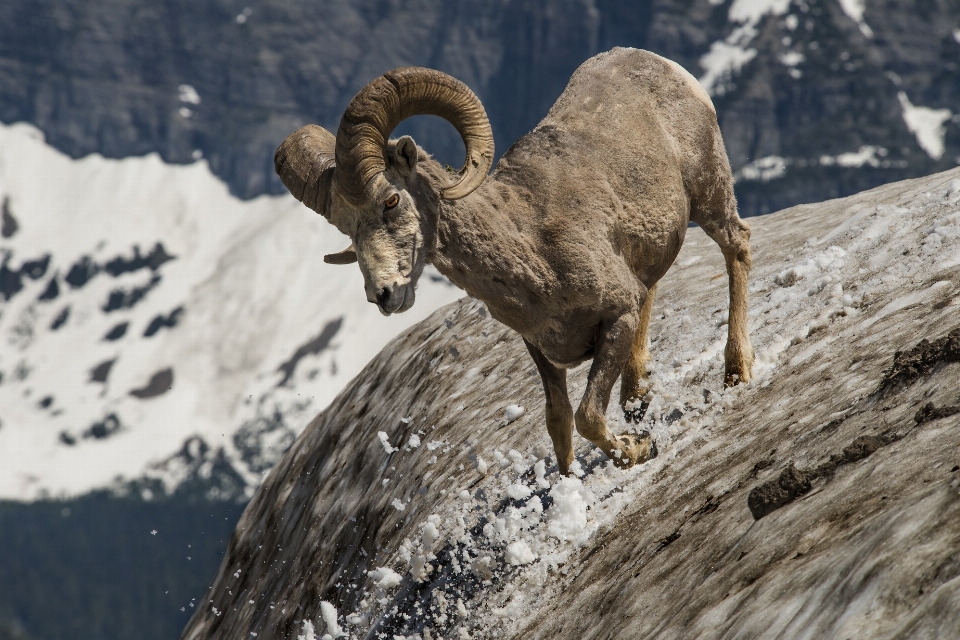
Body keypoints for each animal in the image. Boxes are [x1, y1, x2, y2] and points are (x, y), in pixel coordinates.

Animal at [274, 47, 752, 472]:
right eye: (346, 228)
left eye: (391, 200)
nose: (384, 295)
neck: (534, 252)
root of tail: (664, 66)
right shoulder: (541, 349)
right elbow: (559, 423)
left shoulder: (619, 316)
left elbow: (587, 417)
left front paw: (639, 448)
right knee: (655, 286)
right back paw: (637, 399)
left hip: (709, 194)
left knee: (738, 246)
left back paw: (736, 373)